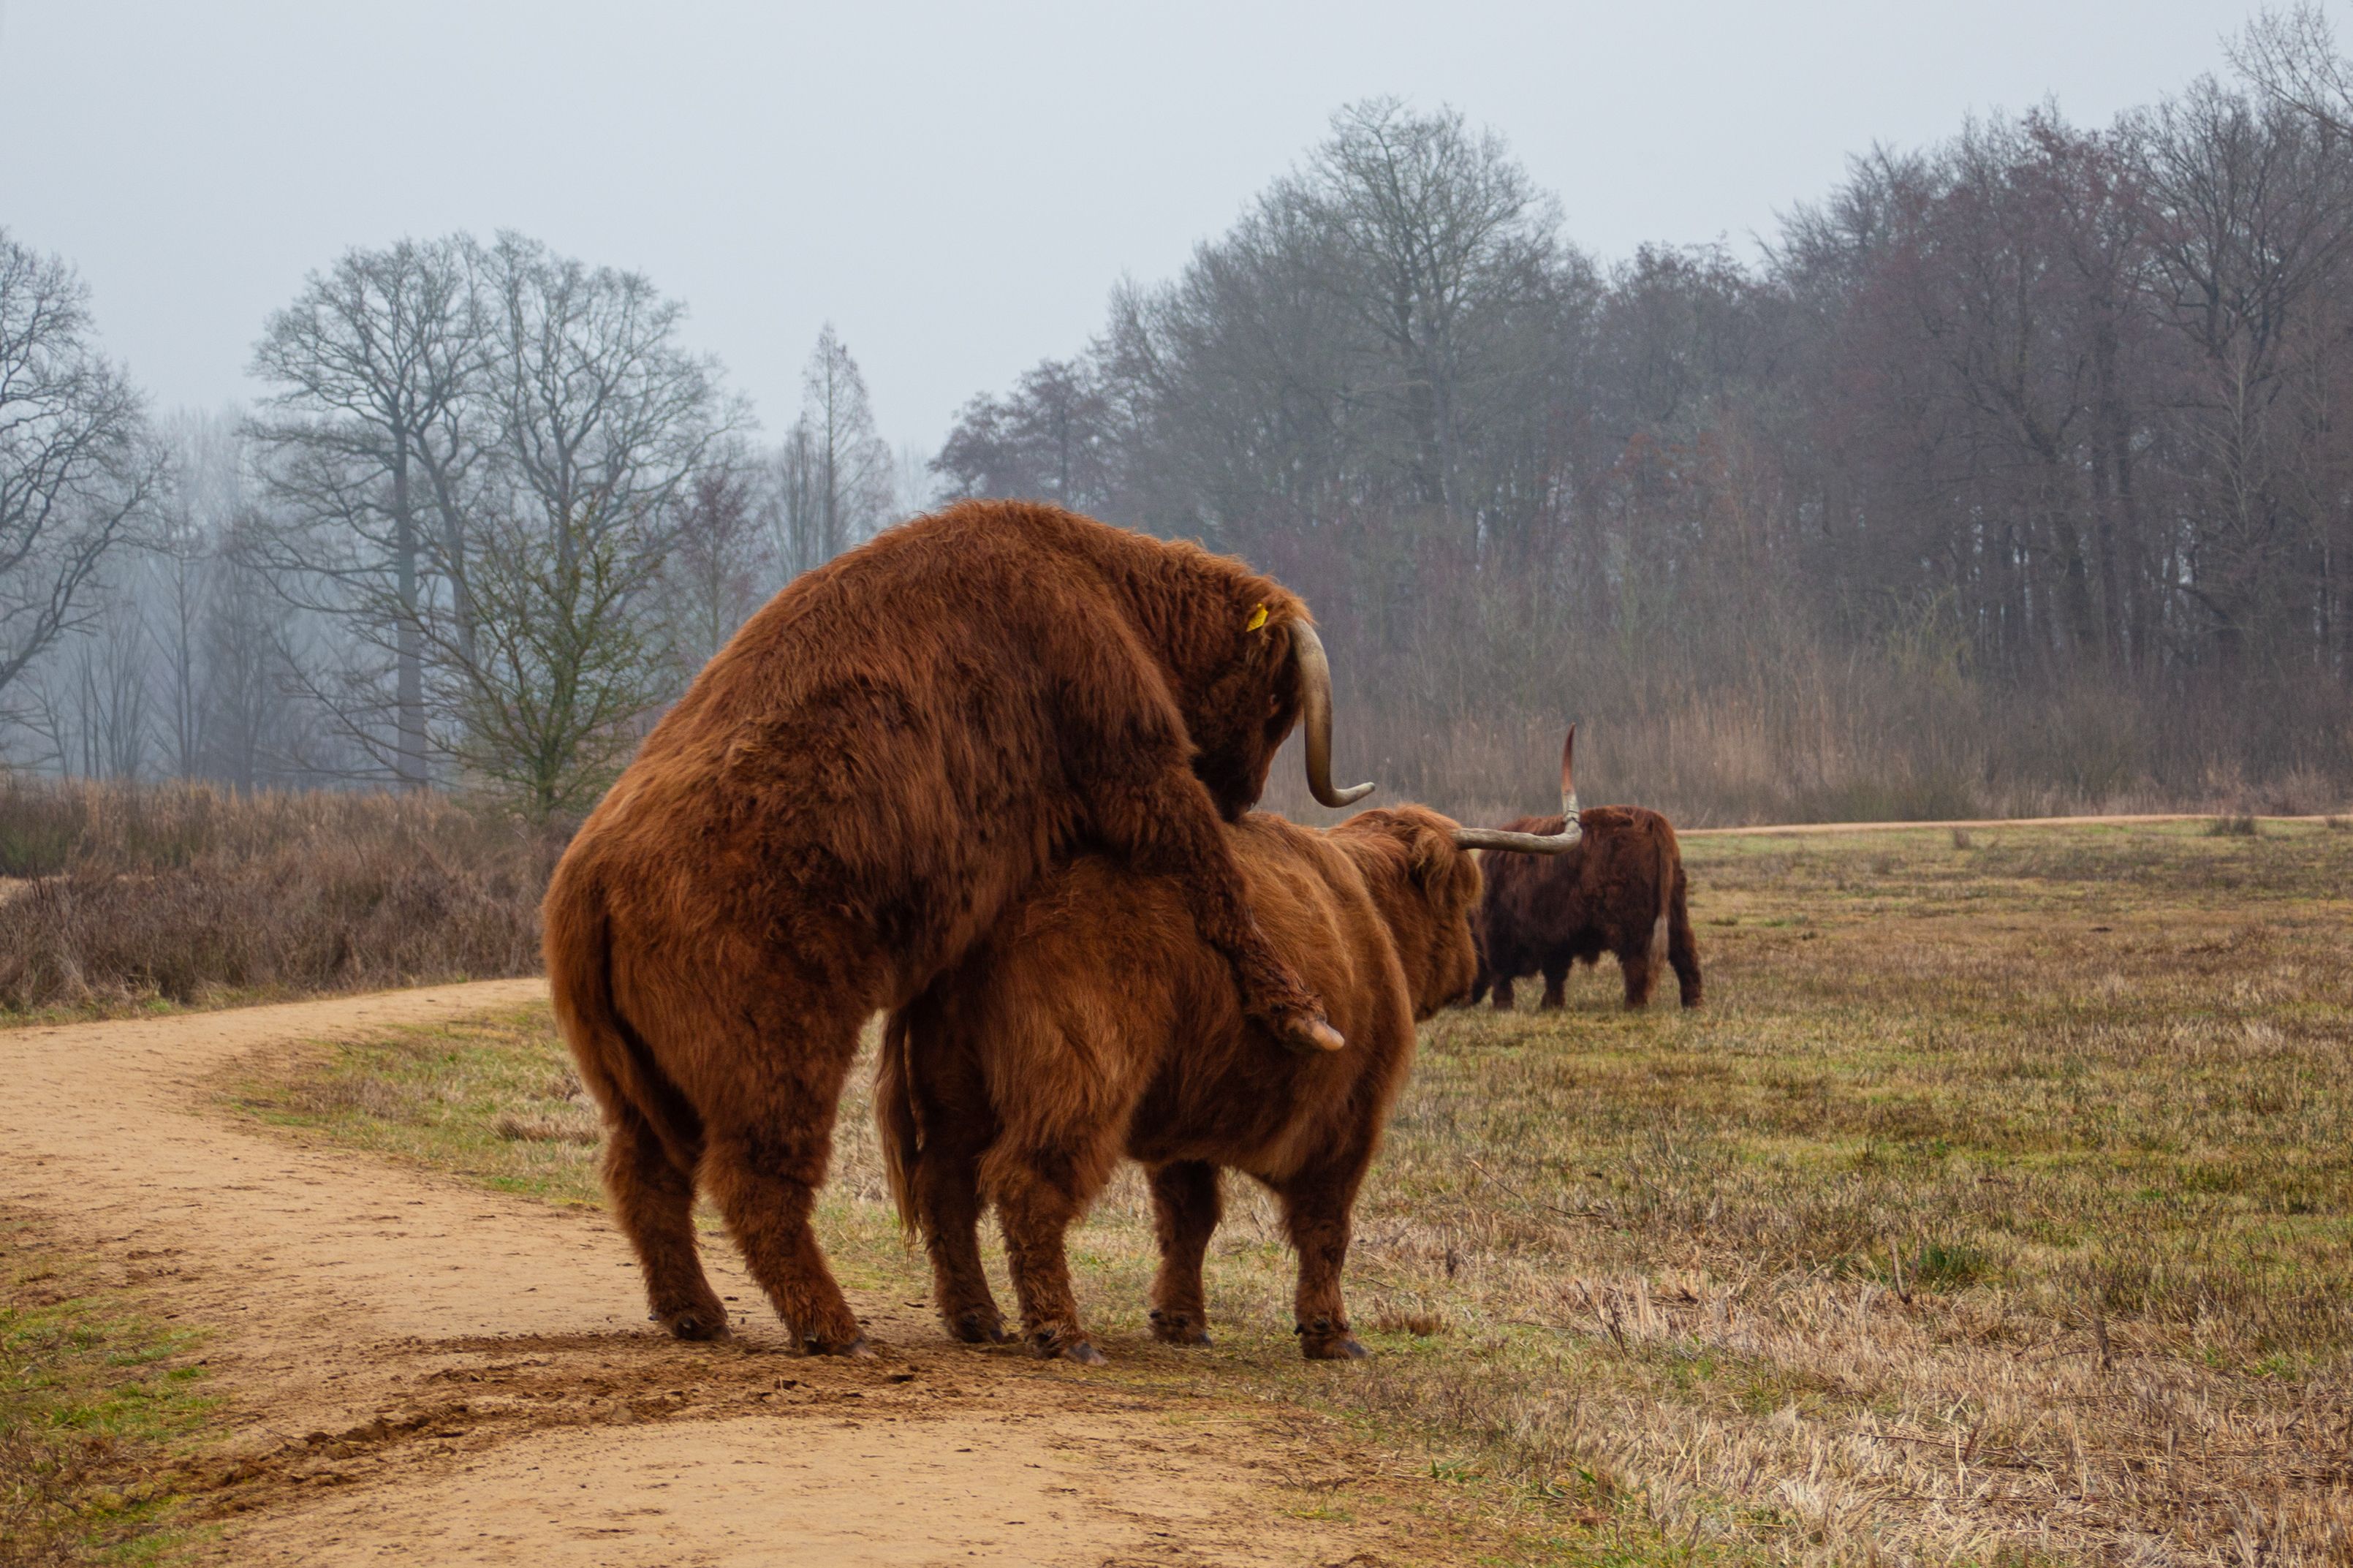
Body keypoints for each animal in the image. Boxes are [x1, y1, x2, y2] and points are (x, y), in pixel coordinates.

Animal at [543, 499, 1377, 1356]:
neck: (1100, 581)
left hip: (639, 1086)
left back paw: (697, 1312)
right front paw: (1301, 1013)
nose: (1240, 798)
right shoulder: (1134, 763)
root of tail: (591, 877)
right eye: (1275, 703)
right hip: (779, 1056)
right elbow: (1213, 874)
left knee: (645, 1174)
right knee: (757, 1180)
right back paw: (834, 1327)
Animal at [873, 736, 1584, 1364]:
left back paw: (976, 1316)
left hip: (952, 1086)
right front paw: (1331, 1335)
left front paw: (1180, 1321)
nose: (1471, 968)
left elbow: (1189, 1218)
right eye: (1461, 900)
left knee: (946, 1186)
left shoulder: (1188, 1125)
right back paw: (1062, 1333)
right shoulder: (1349, 1118)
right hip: (1079, 1077)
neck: (1366, 913)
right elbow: (1326, 1226)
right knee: (1028, 1183)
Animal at [1469, 732, 1701, 1011]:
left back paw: (1633, 1005)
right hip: (1676, 908)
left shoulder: (1506, 934)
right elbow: (1554, 974)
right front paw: (1551, 1005)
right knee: (1685, 953)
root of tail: (1651, 820)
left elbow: (1506, 974)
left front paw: (1505, 1007)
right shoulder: (1555, 936)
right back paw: (1692, 1003)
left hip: (1632, 920)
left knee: (1636, 961)